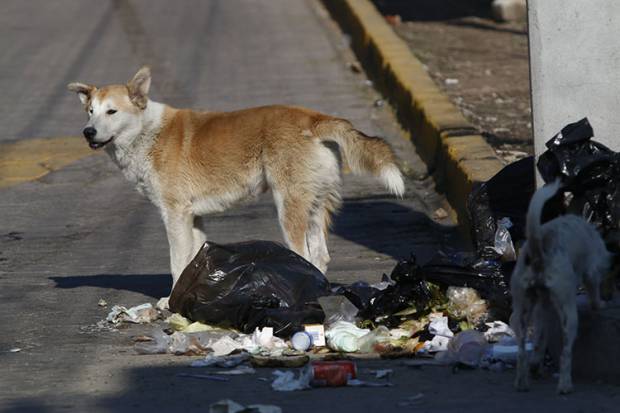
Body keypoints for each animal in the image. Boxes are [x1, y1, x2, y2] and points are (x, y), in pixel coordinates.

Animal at [69, 66, 406, 308]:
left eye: (111, 111)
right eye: (90, 112)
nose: (88, 132)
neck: (146, 132)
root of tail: (313, 118)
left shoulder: (175, 216)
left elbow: (177, 261)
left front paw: (170, 302)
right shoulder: (193, 218)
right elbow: (190, 260)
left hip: (289, 208)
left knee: (305, 256)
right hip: (313, 204)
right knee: (320, 257)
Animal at [512, 179, 608, 392]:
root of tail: (538, 249)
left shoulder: (542, 310)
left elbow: (540, 339)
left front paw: (536, 364)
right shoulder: (592, 270)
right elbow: (595, 291)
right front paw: (599, 304)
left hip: (521, 311)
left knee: (521, 351)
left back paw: (523, 381)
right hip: (569, 315)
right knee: (565, 353)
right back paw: (565, 385)